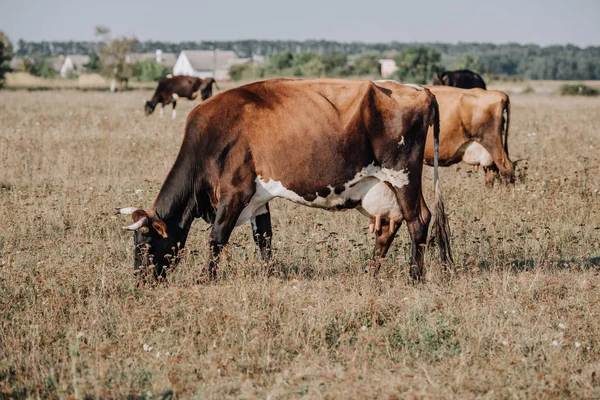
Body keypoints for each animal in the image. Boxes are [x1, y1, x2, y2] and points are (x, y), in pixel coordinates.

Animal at [117, 79, 452, 282]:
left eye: (144, 245)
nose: (139, 280)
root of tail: (421, 89)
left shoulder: (234, 192)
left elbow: (217, 238)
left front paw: (206, 278)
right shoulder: (258, 198)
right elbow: (264, 238)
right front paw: (269, 275)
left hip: (403, 175)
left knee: (418, 221)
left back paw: (414, 276)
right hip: (387, 186)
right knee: (392, 227)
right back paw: (370, 271)